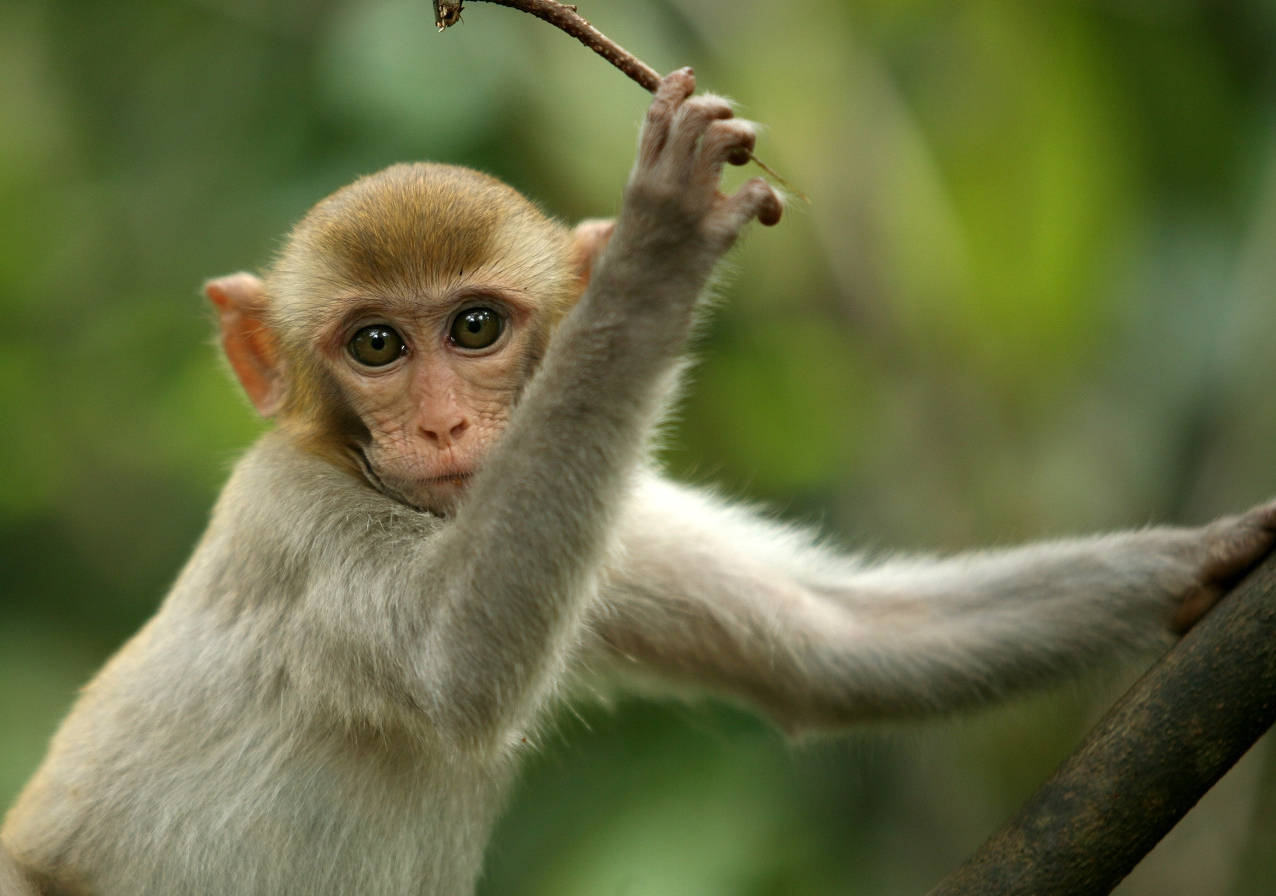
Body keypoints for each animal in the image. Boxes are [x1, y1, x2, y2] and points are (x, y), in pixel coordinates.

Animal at [2, 70, 1276, 896]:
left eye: (473, 327)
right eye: (375, 346)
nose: (445, 420)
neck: (381, 487)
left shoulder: (596, 526)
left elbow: (829, 644)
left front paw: (1211, 557)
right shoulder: (291, 516)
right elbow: (456, 657)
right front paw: (657, 250)